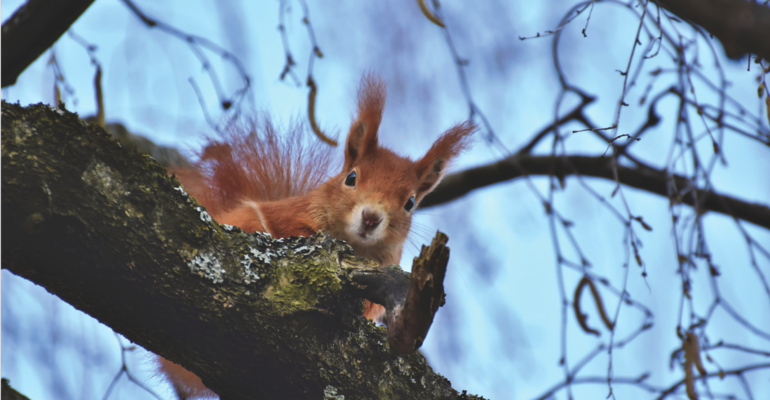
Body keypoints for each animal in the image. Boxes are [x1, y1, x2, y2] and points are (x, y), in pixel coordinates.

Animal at [161, 74, 474, 396]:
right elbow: (293, 232)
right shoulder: (290, 215)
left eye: (410, 203)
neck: (355, 245)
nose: (371, 217)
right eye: (351, 178)